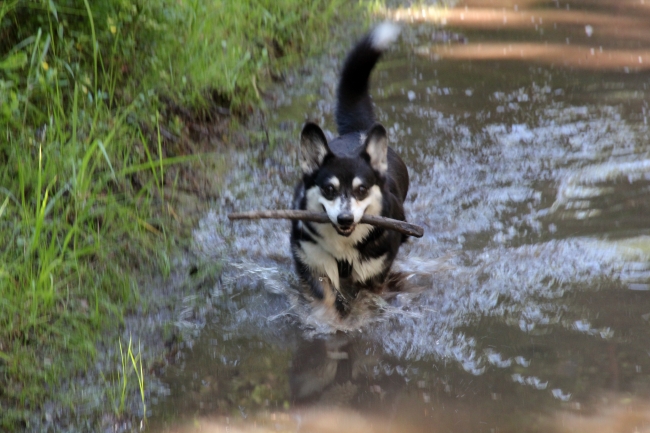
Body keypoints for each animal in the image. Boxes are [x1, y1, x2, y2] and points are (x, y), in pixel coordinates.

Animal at [290, 22, 408, 314]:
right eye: (329, 190)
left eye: (362, 190)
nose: (344, 219)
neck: (343, 248)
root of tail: (358, 130)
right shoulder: (314, 263)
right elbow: (327, 300)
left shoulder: (372, 275)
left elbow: (363, 304)